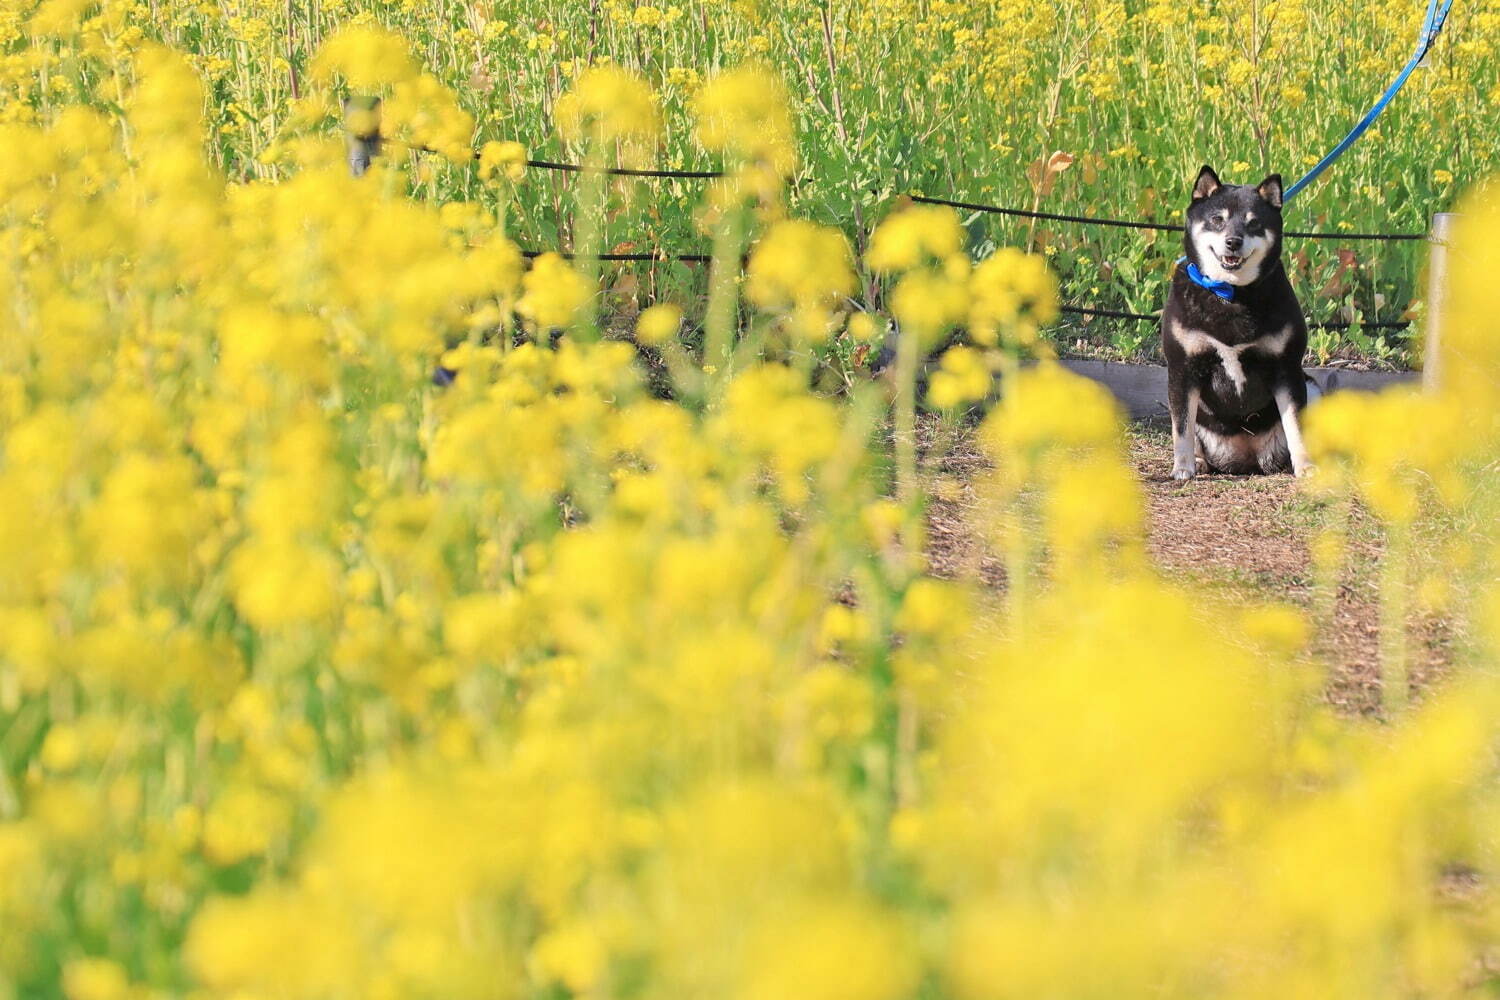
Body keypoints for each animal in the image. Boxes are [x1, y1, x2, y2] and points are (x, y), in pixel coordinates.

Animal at [1158, 167, 1314, 479]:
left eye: (1254, 223)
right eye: (1218, 219)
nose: (1233, 241)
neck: (1230, 293)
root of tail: (1249, 458)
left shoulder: (1287, 368)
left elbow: (1296, 425)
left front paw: (1305, 466)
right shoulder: (1183, 369)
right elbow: (1181, 428)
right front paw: (1182, 468)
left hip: (1310, 384)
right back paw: (1199, 462)